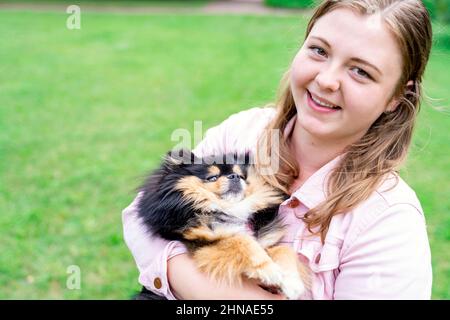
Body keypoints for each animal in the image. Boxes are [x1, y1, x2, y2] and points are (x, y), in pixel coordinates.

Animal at [135, 149, 308, 300]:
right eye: (212, 177)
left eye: (242, 176)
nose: (234, 176)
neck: (230, 209)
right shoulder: (202, 243)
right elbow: (241, 240)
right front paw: (269, 270)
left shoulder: (265, 242)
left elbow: (283, 250)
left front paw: (292, 282)